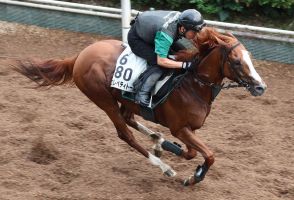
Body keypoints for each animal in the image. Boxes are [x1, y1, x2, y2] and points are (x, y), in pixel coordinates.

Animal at [13, 27, 266, 186]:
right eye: (236, 61)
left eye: (250, 58)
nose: (260, 87)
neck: (193, 83)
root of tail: (80, 56)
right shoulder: (180, 128)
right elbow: (208, 155)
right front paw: (193, 177)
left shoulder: (188, 129)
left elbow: (193, 153)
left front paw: (172, 150)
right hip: (103, 100)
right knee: (124, 133)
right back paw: (163, 166)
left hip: (126, 100)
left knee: (129, 119)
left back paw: (158, 141)